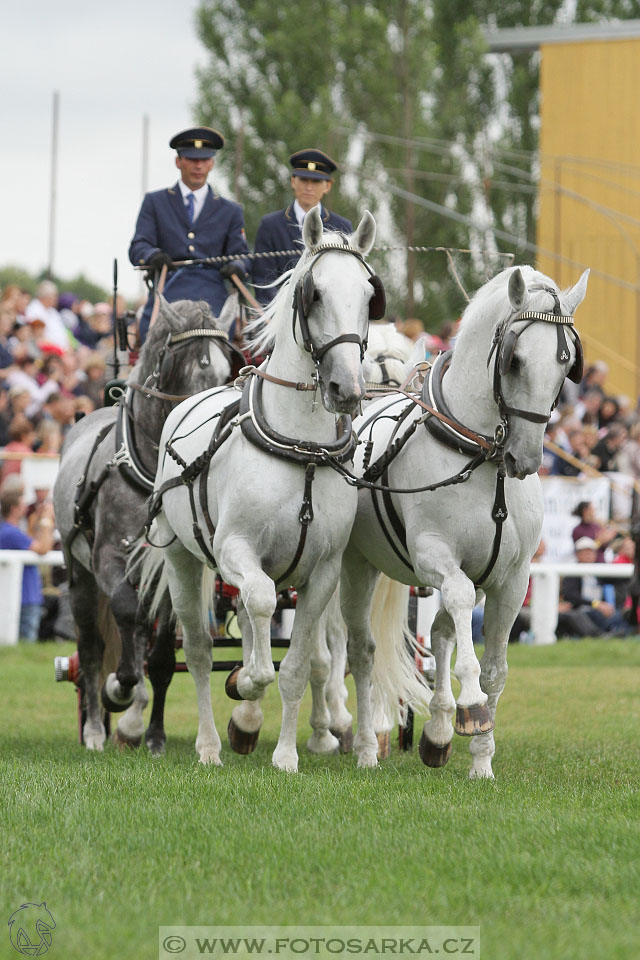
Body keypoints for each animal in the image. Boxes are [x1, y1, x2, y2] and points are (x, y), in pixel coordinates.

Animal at [137, 208, 382, 772]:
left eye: (369, 294)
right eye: (314, 293)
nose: (347, 389)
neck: (303, 448)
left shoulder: (323, 571)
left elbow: (295, 664)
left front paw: (287, 753)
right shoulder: (234, 549)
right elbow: (261, 613)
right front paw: (246, 683)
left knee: (254, 616)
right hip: (183, 560)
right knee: (200, 649)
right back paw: (209, 743)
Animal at [340, 266, 592, 776]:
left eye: (567, 363)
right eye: (515, 360)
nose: (526, 459)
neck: (484, 459)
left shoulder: (511, 579)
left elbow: (494, 668)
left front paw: (481, 760)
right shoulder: (434, 555)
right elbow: (461, 627)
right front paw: (470, 705)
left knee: (437, 634)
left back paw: (435, 732)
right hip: (355, 565)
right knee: (359, 651)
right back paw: (362, 745)